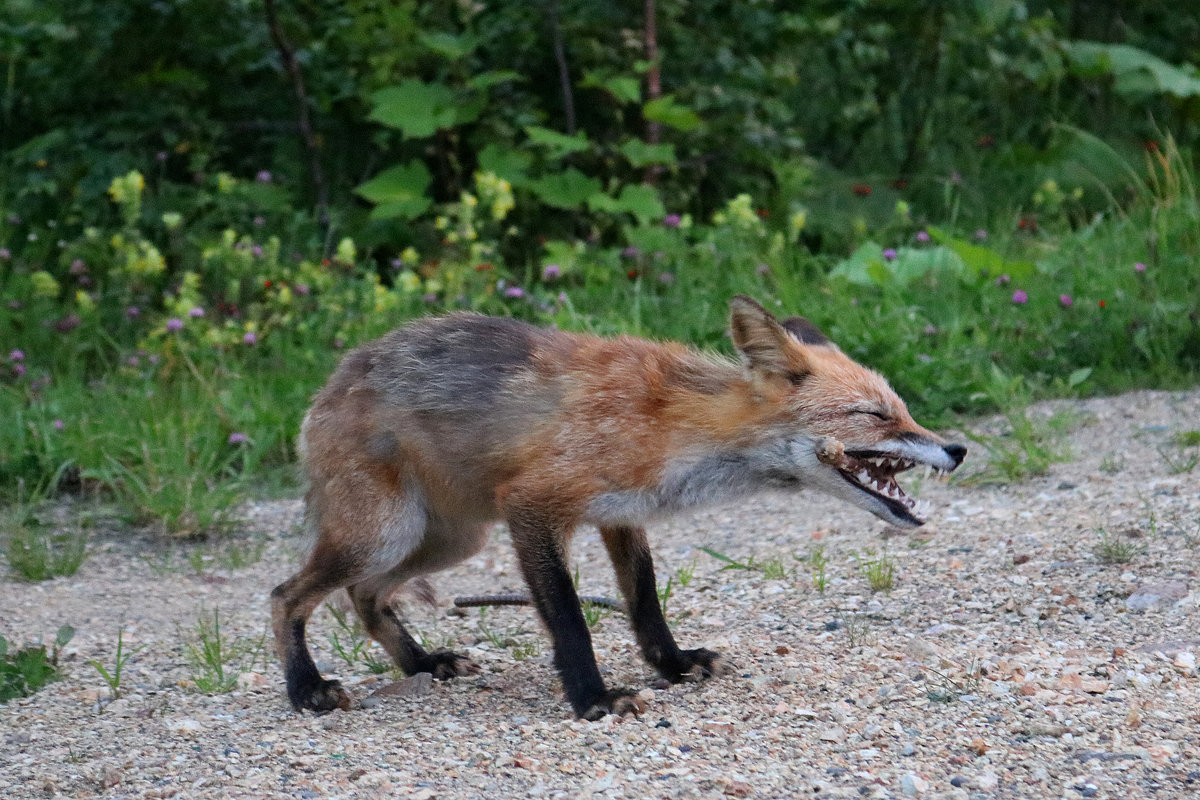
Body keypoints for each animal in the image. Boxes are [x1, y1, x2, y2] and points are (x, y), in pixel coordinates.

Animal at [272, 297, 964, 724]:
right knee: (287, 595)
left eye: (903, 409)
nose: (957, 449)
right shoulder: (533, 507)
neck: (677, 428)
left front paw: (673, 665)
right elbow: (571, 620)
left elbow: (646, 603)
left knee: (365, 596)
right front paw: (593, 699)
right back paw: (307, 689)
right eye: (874, 416)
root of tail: (331, 382)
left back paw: (421, 663)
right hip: (387, 533)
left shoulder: (622, 513)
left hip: (450, 541)